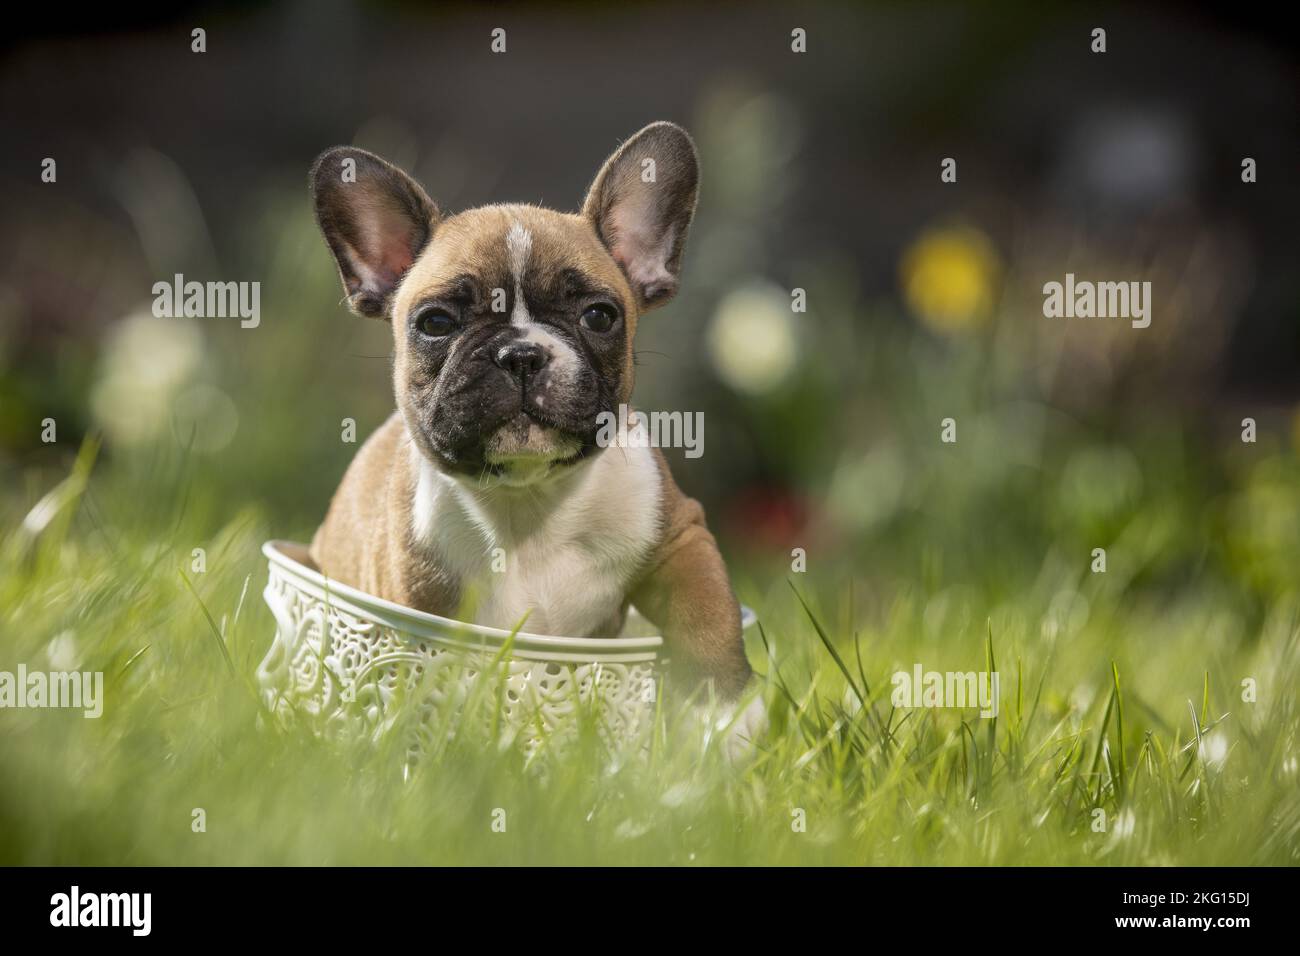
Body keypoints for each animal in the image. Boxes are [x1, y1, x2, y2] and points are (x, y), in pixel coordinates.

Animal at [308, 121, 759, 733]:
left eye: (599, 315)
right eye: (436, 322)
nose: (520, 354)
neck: (530, 502)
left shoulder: (680, 538)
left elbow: (708, 613)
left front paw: (727, 714)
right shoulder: (406, 610)